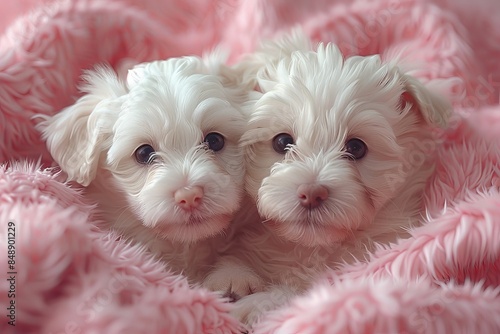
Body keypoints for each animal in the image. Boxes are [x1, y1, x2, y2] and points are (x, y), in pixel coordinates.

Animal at [203, 32, 454, 326]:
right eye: (282, 142)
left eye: (356, 147)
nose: (311, 193)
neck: (313, 247)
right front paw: (231, 276)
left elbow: (297, 295)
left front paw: (254, 304)